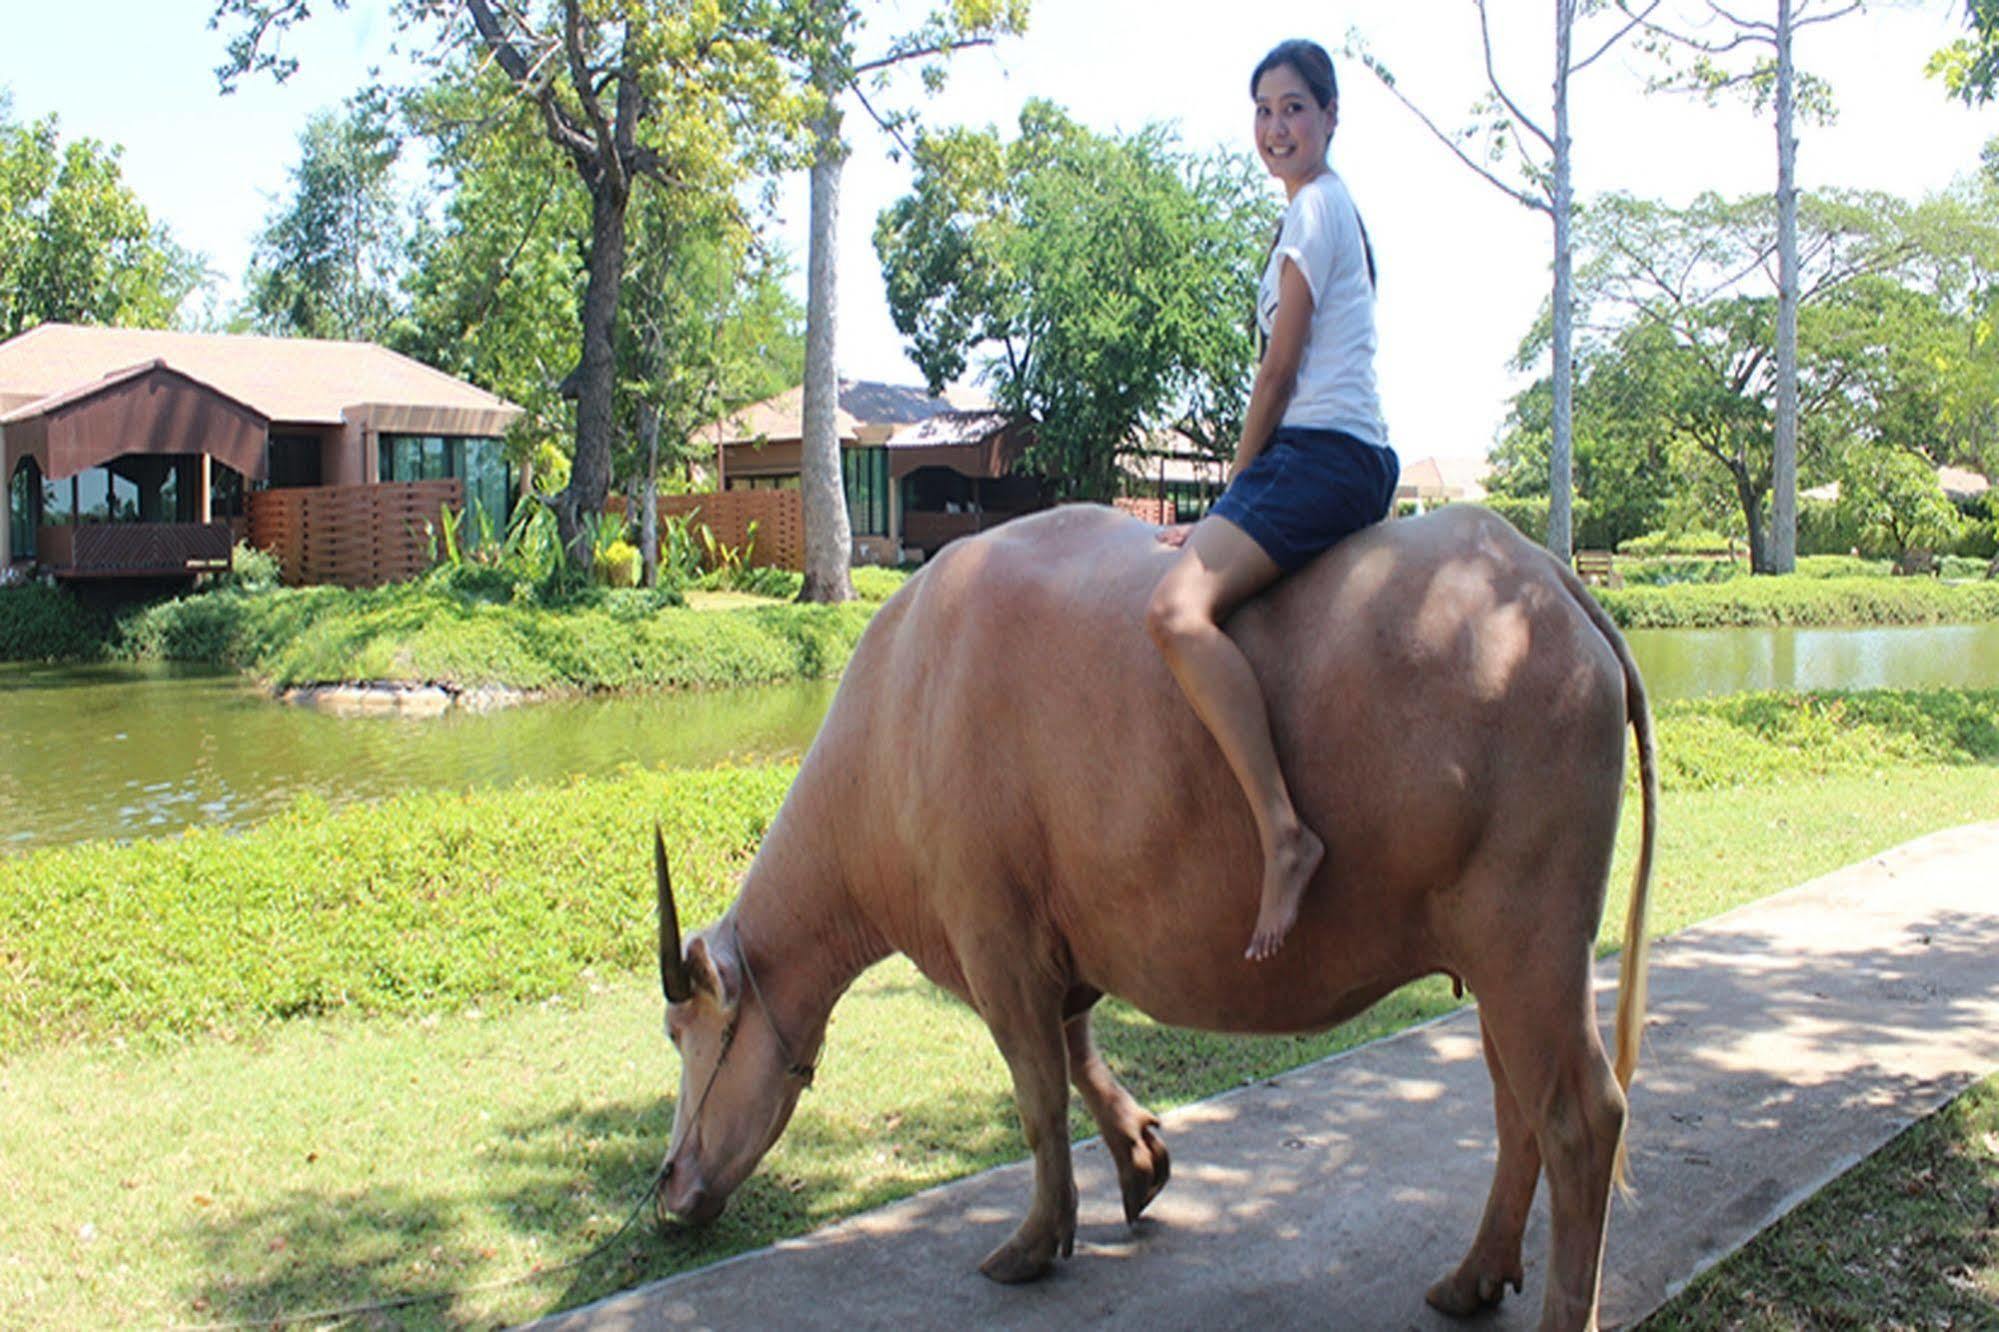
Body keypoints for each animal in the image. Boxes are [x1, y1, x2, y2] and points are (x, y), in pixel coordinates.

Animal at [651, 500, 1655, 1328]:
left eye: (679, 1031)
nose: (668, 1188)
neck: (902, 713)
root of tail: (1547, 578)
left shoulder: (995, 946)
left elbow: (1037, 1097)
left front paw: (1034, 1240)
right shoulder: (1059, 950)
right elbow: (1079, 1059)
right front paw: (1140, 1162)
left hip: (1531, 948)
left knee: (1579, 1118)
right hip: (1497, 964)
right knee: (1516, 1108)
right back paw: (1471, 1278)